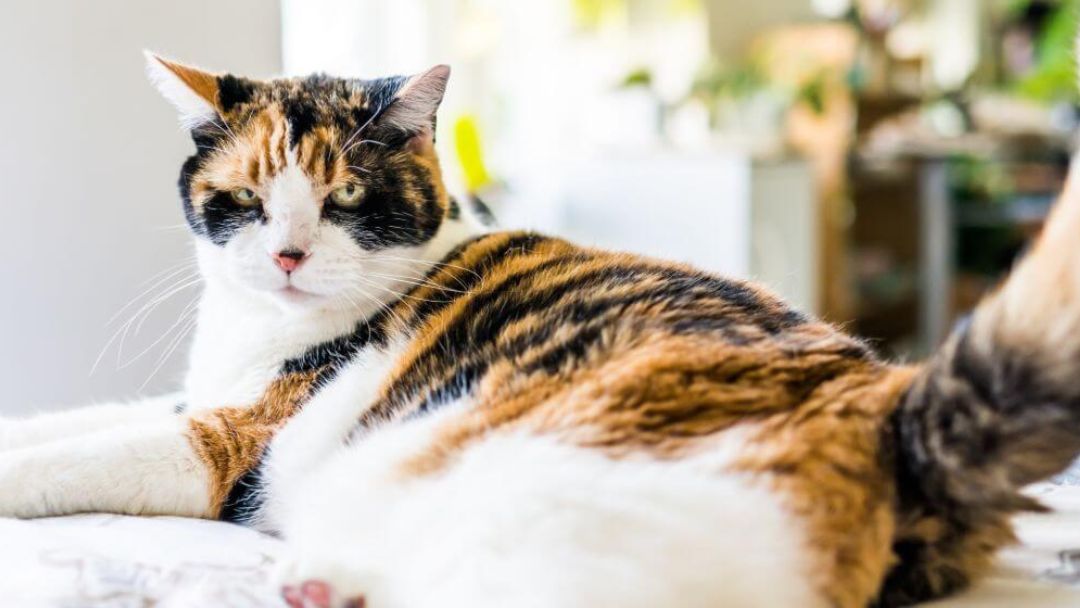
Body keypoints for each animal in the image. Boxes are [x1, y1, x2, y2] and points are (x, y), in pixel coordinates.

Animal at [2, 52, 1080, 608]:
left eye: (346, 196)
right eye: (251, 199)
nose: (291, 256)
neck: (252, 331)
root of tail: (892, 403)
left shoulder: (229, 438)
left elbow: (86, 455)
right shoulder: (196, 397)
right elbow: (69, 424)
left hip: (544, 484)